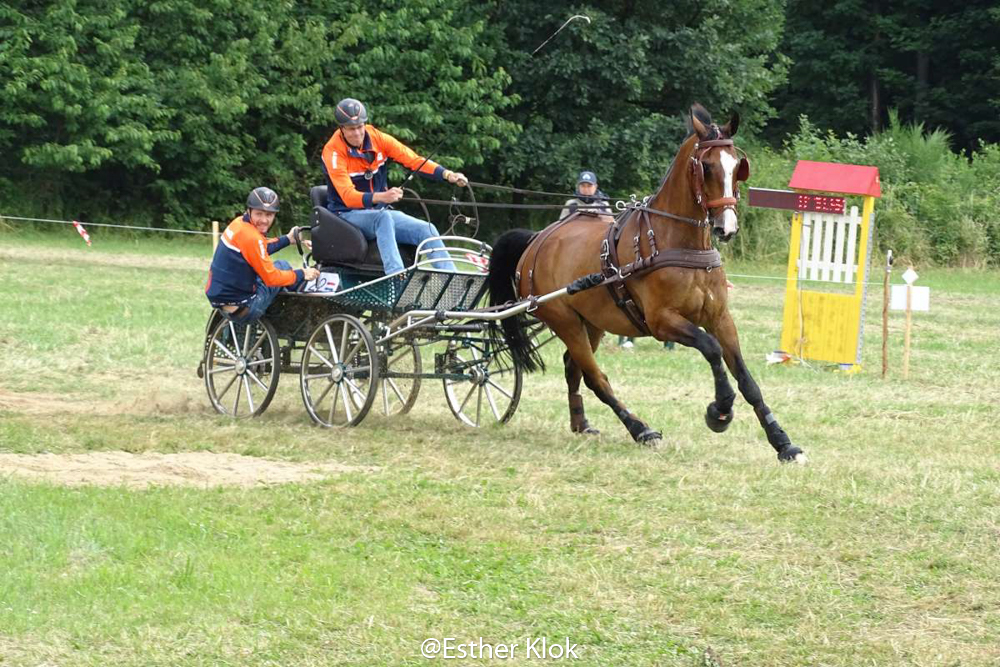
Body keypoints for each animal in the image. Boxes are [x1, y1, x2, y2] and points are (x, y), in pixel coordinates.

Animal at [488, 104, 808, 462]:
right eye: (707, 166)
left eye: (737, 166)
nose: (726, 228)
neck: (676, 242)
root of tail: (536, 241)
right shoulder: (661, 322)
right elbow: (711, 349)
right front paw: (720, 411)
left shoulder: (720, 318)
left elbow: (746, 378)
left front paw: (783, 442)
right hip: (565, 321)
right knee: (595, 377)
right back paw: (640, 429)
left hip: (592, 323)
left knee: (574, 367)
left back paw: (582, 424)